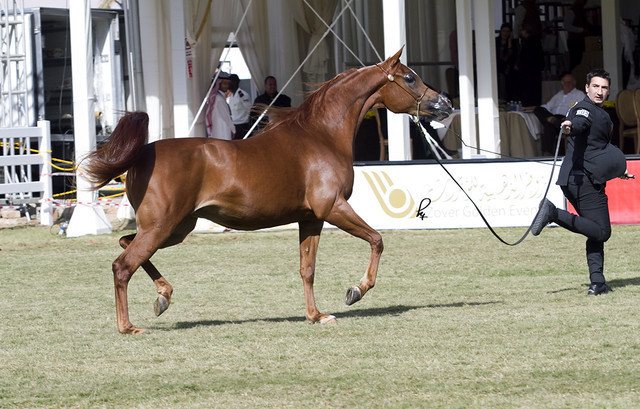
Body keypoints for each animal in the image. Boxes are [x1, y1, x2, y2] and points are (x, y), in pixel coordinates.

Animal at [84, 48, 452, 334]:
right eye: (409, 78)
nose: (445, 104)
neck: (321, 135)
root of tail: (143, 154)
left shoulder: (311, 218)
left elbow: (307, 269)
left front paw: (316, 316)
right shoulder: (333, 208)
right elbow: (377, 239)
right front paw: (355, 291)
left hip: (175, 228)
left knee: (126, 245)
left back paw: (163, 296)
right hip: (162, 226)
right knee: (122, 265)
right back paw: (129, 326)